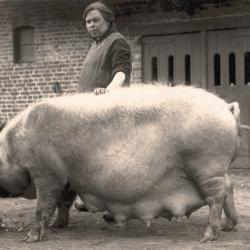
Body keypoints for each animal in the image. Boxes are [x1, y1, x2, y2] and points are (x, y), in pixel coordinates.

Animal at [0, 84, 239, 242]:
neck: (12, 145)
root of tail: (226, 108)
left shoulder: (47, 173)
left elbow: (44, 205)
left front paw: (30, 238)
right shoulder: (69, 178)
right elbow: (63, 202)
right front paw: (58, 225)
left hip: (207, 165)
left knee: (217, 197)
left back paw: (207, 236)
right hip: (215, 169)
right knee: (229, 187)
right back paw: (229, 227)